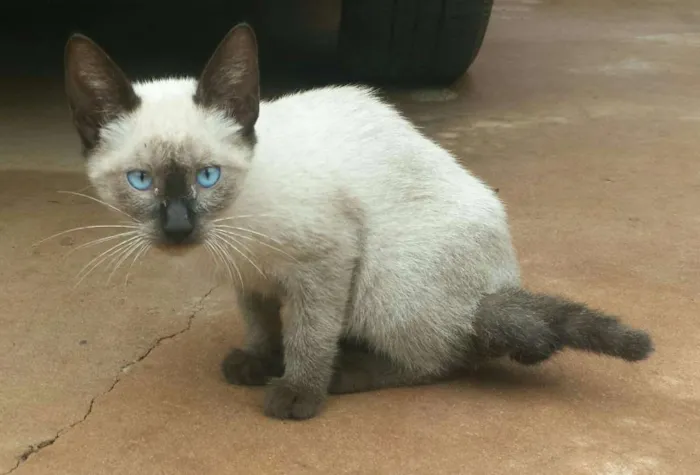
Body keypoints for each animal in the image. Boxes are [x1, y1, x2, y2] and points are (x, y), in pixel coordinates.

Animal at [63, 24, 652, 422]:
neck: (235, 226)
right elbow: (260, 322)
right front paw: (259, 361)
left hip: (383, 282)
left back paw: (348, 372)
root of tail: (496, 292)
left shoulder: (326, 261)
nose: (179, 228)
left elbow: (309, 335)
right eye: (141, 181)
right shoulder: (251, 276)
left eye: (207, 176)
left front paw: (297, 390)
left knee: (448, 357)